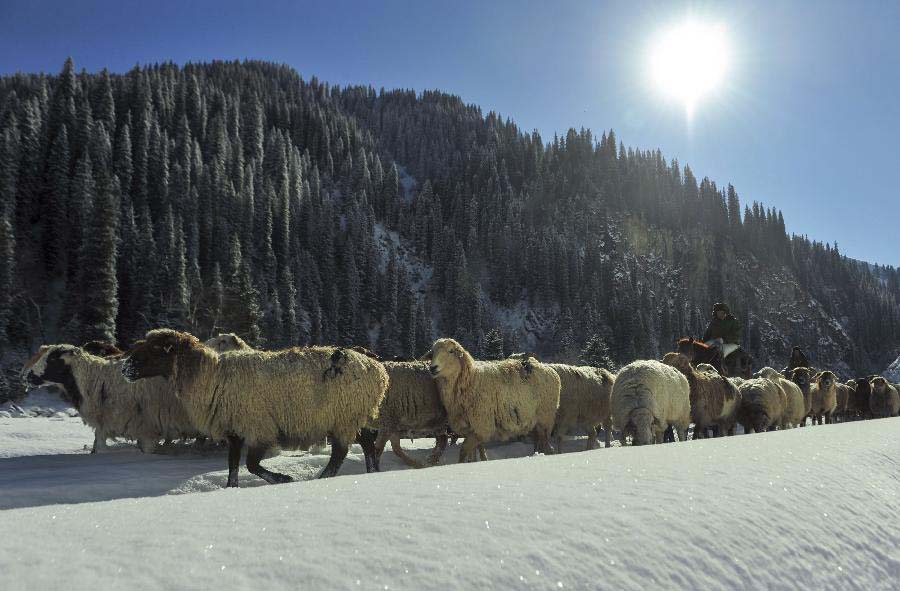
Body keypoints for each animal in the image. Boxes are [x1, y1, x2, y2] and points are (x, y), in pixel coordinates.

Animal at [22, 344, 196, 456]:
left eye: (52, 359)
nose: (26, 376)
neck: (94, 379)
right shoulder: (103, 424)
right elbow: (98, 447)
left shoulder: (147, 429)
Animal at [119, 330, 386, 488]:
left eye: (154, 349)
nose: (124, 369)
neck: (211, 376)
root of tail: (376, 366)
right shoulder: (233, 430)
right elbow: (233, 465)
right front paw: (231, 488)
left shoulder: (259, 427)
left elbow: (251, 465)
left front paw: (283, 478)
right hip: (354, 416)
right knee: (367, 443)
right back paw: (371, 472)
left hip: (344, 415)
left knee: (340, 452)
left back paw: (322, 478)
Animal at [426, 338, 560, 462]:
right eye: (432, 353)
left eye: (451, 351)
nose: (433, 368)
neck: (470, 380)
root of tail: (547, 368)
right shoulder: (472, 429)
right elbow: (475, 450)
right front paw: (478, 461)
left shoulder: (482, 426)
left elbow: (464, 450)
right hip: (536, 422)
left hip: (545, 418)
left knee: (547, 444)